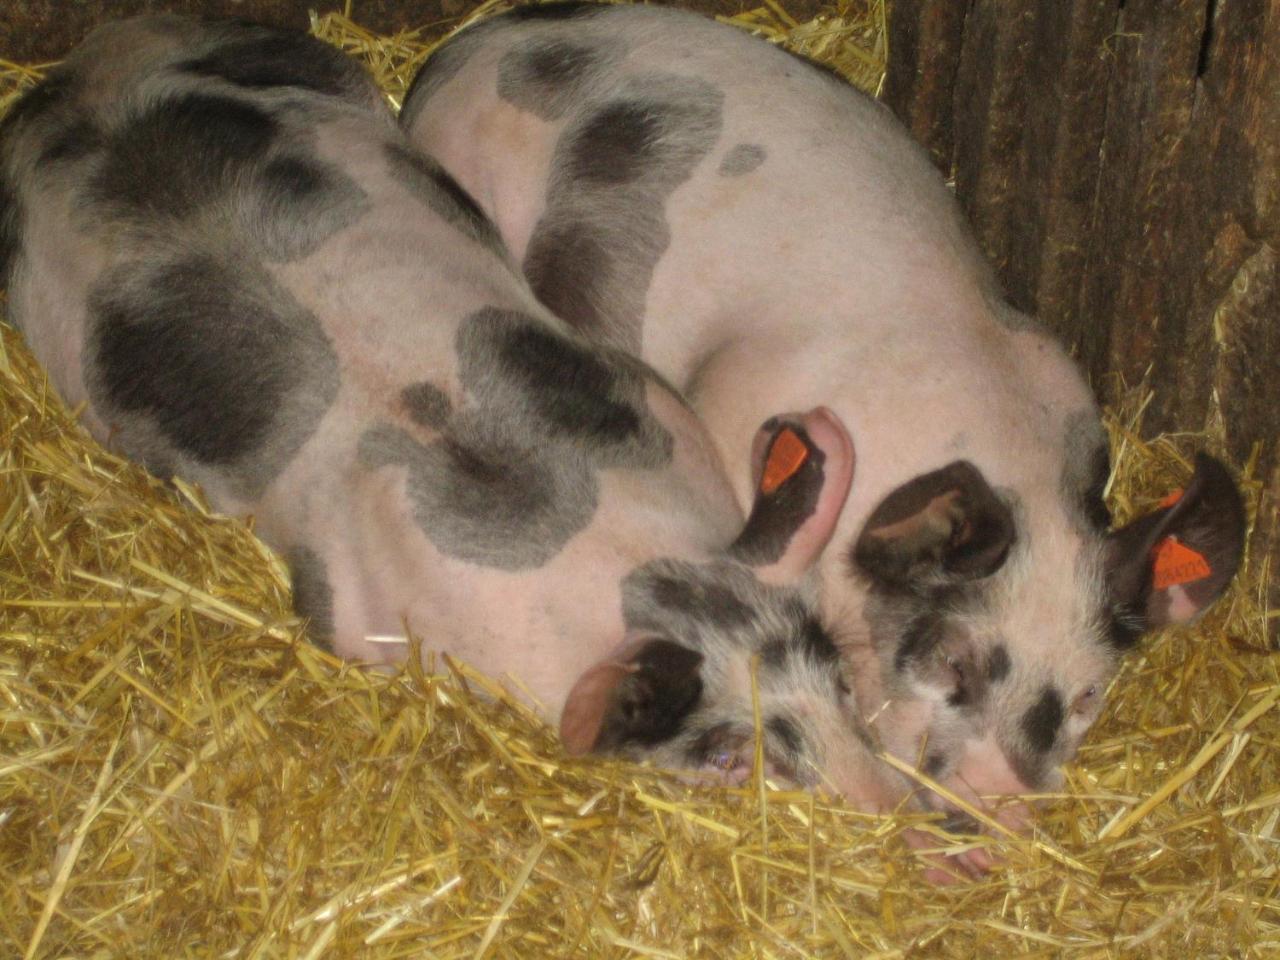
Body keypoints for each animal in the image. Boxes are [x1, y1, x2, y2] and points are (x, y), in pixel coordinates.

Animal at [0, 16, 926, 814]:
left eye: (842, 677)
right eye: (732, 757)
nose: (897, 819)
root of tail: (73, 72)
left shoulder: (644, 389)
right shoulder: (353, 615)